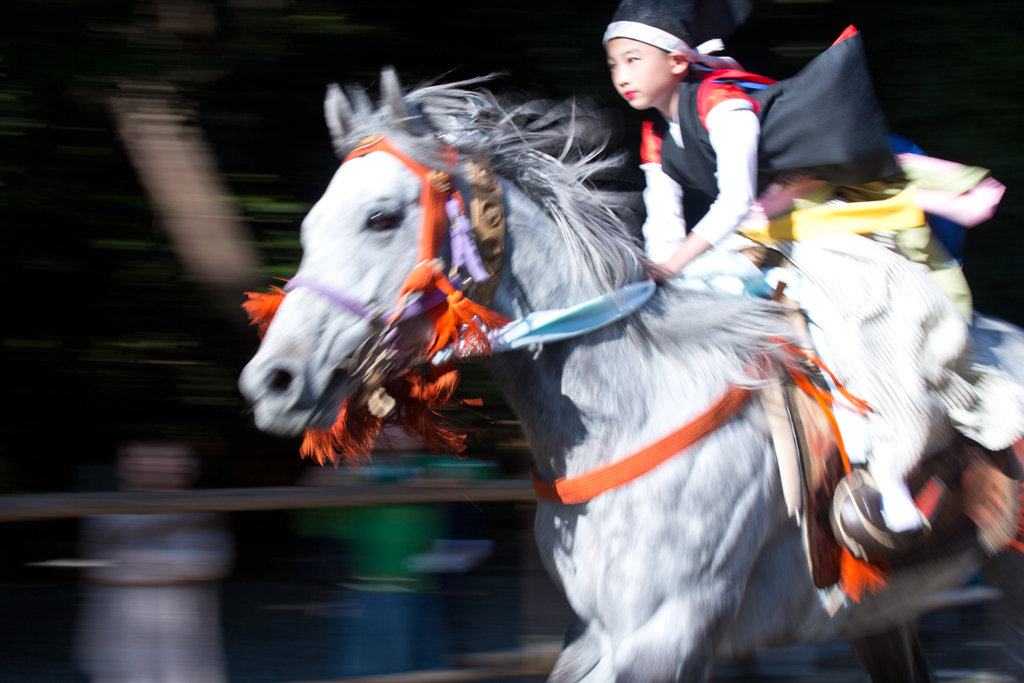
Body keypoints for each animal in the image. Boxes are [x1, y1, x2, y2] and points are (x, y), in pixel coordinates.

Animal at [239, 72, 1024, 679]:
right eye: (309, 226)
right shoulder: (598, 633)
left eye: (379, 217)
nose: (271, 381)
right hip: (879, 610)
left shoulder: (667, 632)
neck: (634, 406)